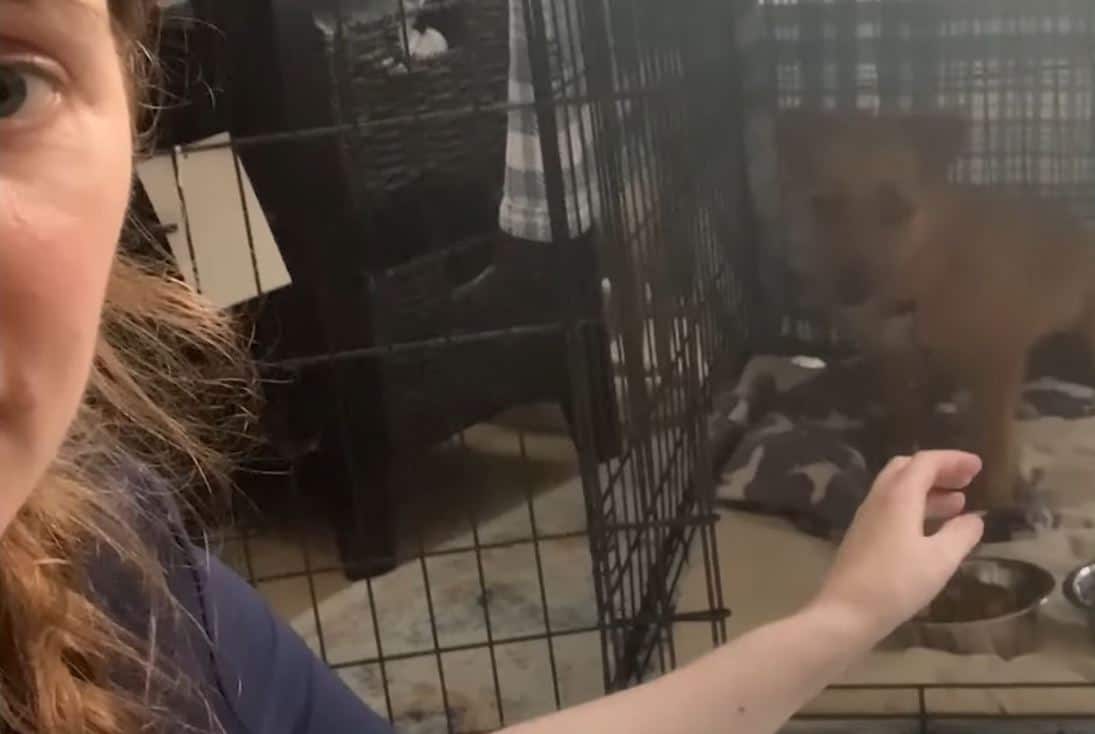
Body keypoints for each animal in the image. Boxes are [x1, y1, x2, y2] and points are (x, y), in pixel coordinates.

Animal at [775, 110, 1095, 512]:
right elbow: (908, 418)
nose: (851, 290)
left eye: (896, 207)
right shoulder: (894, 362)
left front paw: (995, 500)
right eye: (823, 204)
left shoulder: (999, 359)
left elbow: (995, 442)